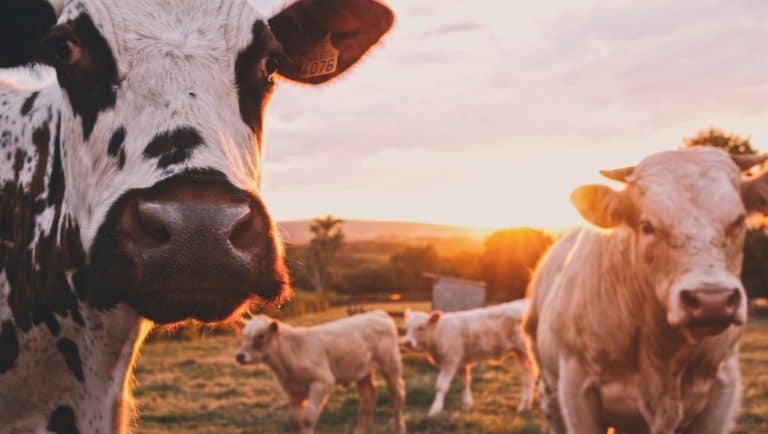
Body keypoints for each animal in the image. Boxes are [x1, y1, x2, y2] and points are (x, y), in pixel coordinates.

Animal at [236, 310, 408, 434]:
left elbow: (307, 419)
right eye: (243, 335)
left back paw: (399, 429)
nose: (239, 356)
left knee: (397, 396)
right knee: (367, 398)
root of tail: (378, 313)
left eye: (261, 336)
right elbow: (295, 421)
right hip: (363, 372)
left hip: (391, 365)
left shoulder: (322, 381)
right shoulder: (294, 392)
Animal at [402, 298, 536, 418]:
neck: (439, 333)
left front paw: (435, 409)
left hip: (527, 350)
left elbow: (441, 386)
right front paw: (467, 405)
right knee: (527, 376)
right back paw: (524, 406)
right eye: (407, 327)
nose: (407, 343)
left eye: (421, 327)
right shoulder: (461, 362)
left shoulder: (450, 361)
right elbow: (465, 382)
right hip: (520, 353)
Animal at [524, 147, 768, 432]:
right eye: (647, 226)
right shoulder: (576, 391)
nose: (712, 301)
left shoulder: (722, 390)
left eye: (738, 220)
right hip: (548, 384)